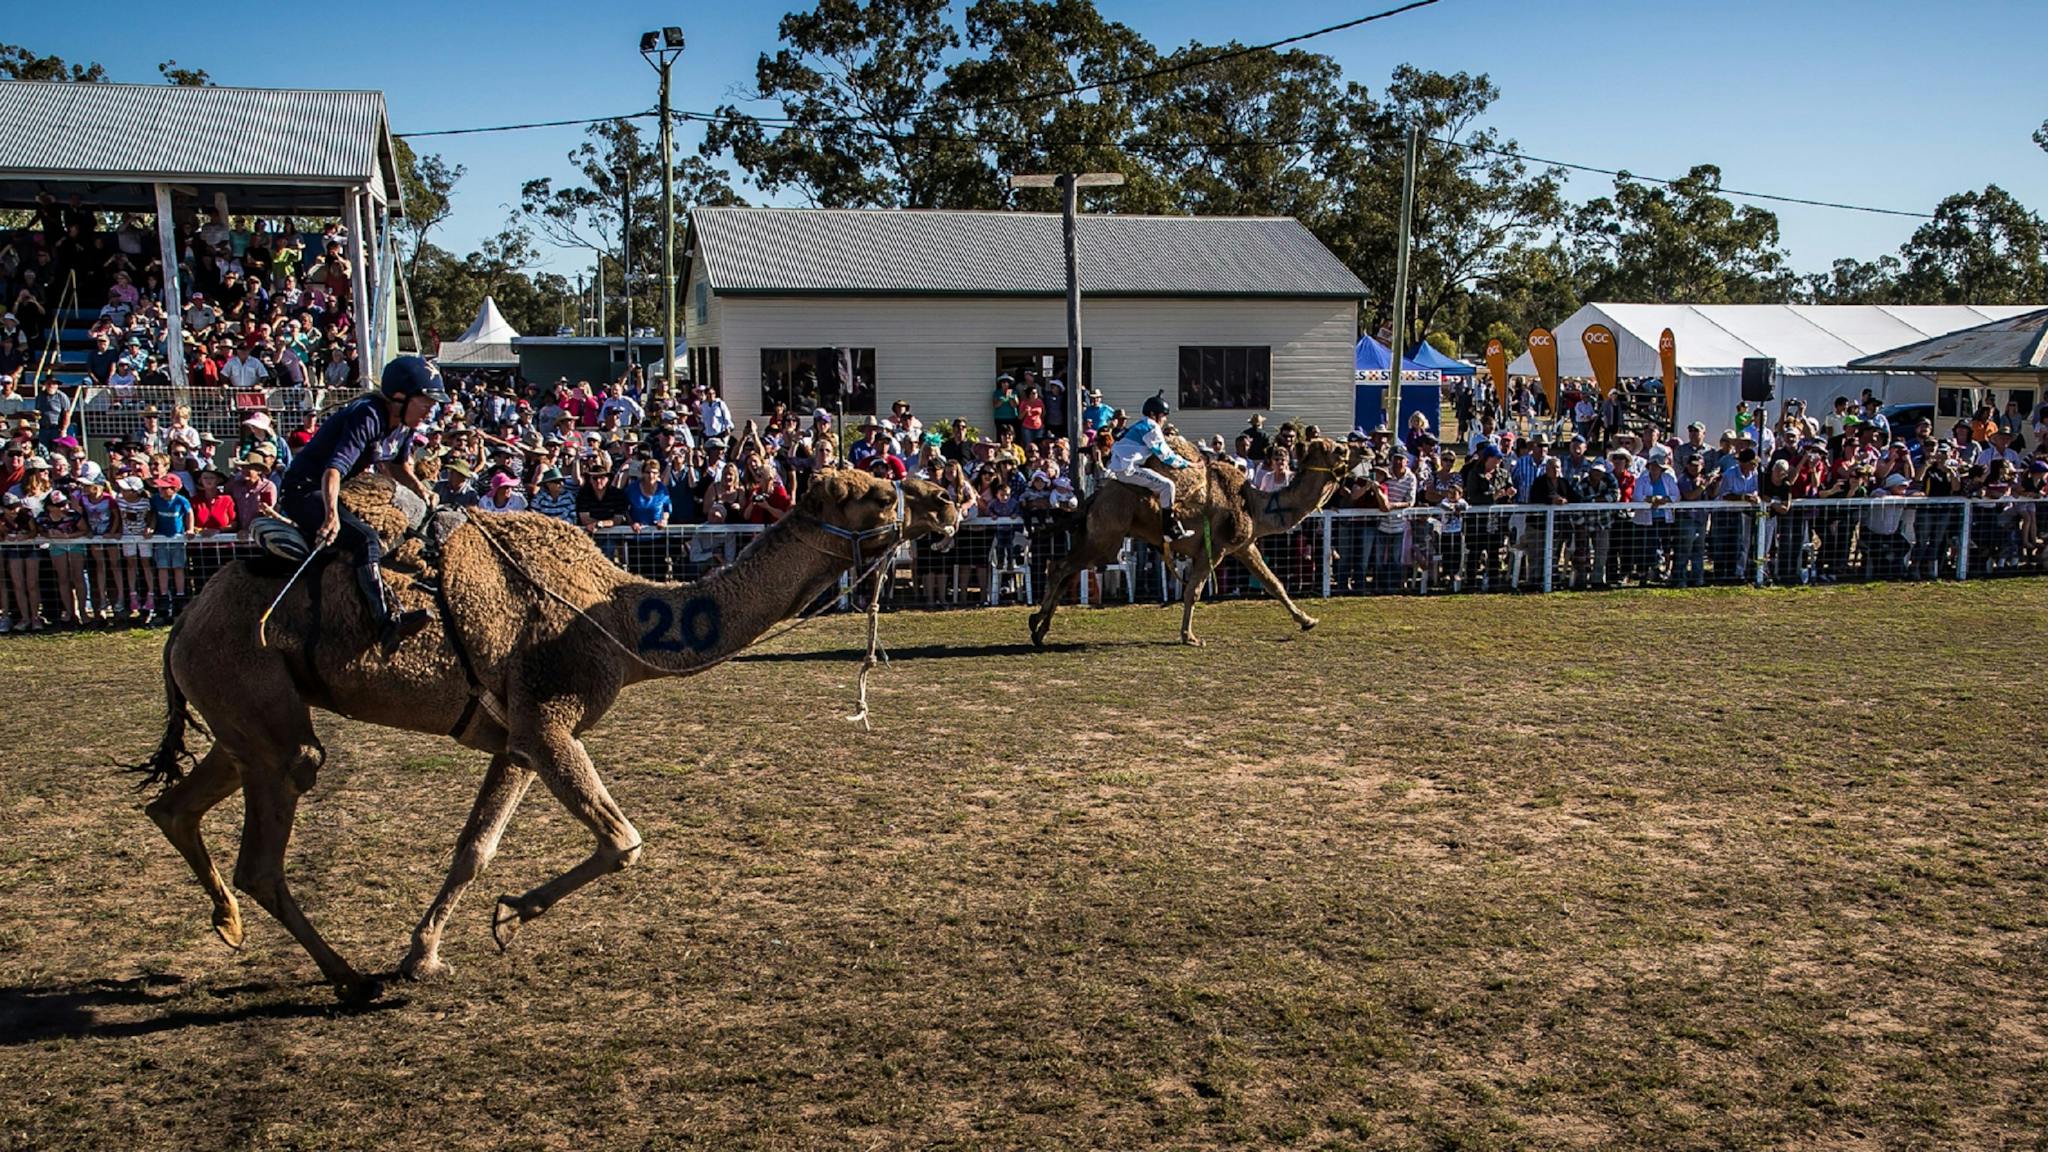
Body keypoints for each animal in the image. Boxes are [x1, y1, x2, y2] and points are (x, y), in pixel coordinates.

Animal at [135, 468, 961, 1000]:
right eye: (878, 493)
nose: (952, 498)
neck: (622, 615)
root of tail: (183, 619)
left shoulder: (515, 737)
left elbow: (475, 848)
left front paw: (425, 954)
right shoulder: (550, 716)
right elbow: (623, 841)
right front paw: (506, 918)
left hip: (241, 716)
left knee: (174, 805)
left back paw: (231, 926)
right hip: (257, 700)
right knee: (266, 842)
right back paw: (344, 975)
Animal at [1029, 436, 1357, 647]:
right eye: (1340, 450)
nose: (1362, 451)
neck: (1254, 503)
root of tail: (1094, 497)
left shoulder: (1244, 546)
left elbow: (1273, 583)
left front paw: (1307, 620)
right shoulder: (1216, 549)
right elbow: (1193, 591)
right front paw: (1189, 637)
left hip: (1096, 536)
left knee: (1067, 570)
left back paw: (1041, 629)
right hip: (1107, 538)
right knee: (1059, 567)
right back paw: (1036, 623)